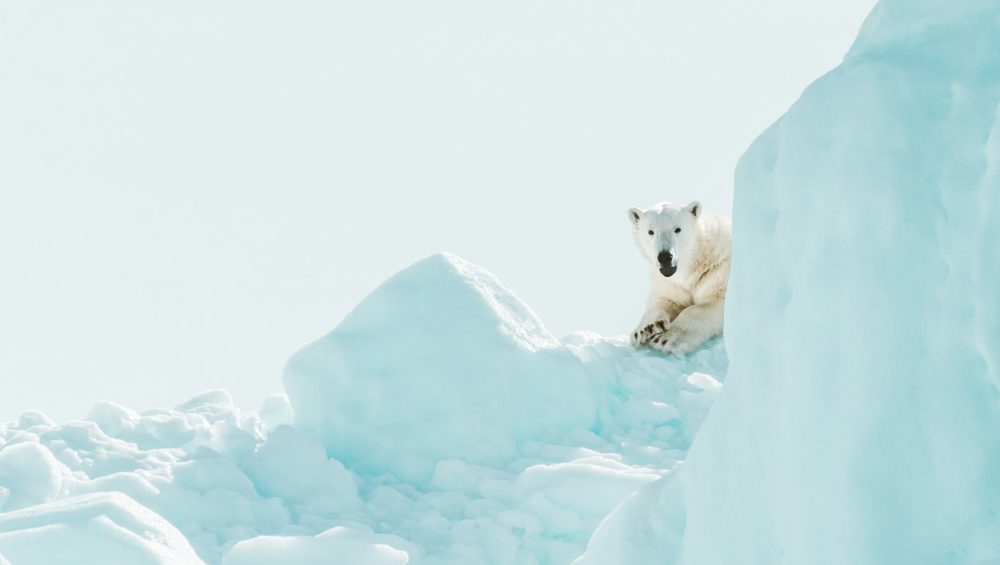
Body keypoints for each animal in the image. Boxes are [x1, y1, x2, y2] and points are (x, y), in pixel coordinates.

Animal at [627, 200, 732, 355]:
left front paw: (666, 339)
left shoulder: (718, 270)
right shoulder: (671, 283)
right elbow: (667, 299)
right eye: (651, 231)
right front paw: (645, 329)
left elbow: (708, 303)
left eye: (677, 229)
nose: (665, 257)